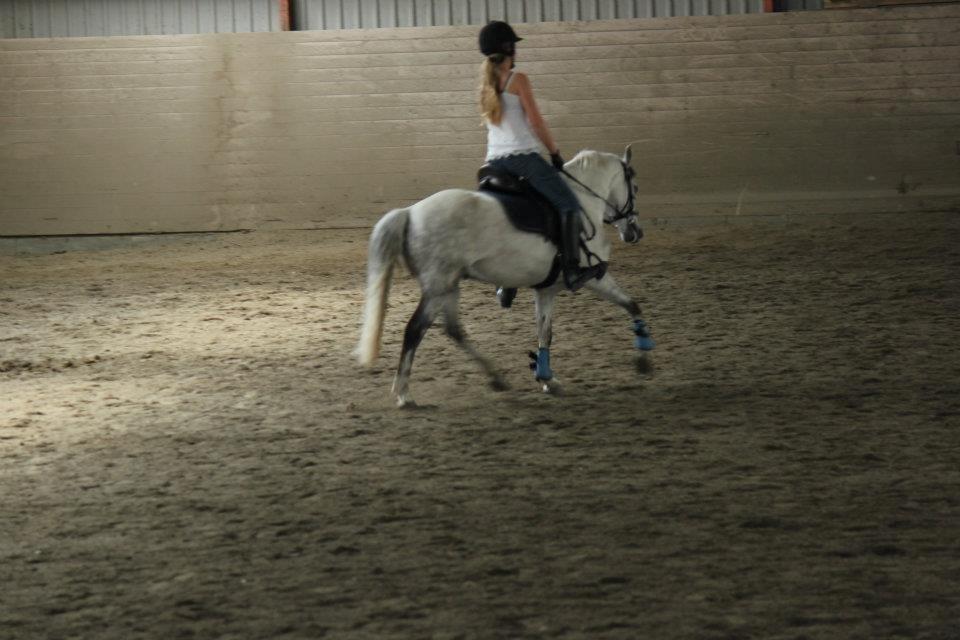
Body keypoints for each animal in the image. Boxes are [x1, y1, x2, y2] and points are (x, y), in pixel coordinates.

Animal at [357, 145, 655, 408]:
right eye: (636, 188)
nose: (635, 232)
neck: (584, 201)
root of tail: (410, 212)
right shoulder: (594, 277)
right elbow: (632, 304)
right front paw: (643, 359)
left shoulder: (546, 289)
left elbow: (545, 333)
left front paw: (547, 378)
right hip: (437, 286)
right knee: (414, 330)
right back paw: (403, 394)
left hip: (448, 286)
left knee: (454, 331)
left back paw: (496, 378)